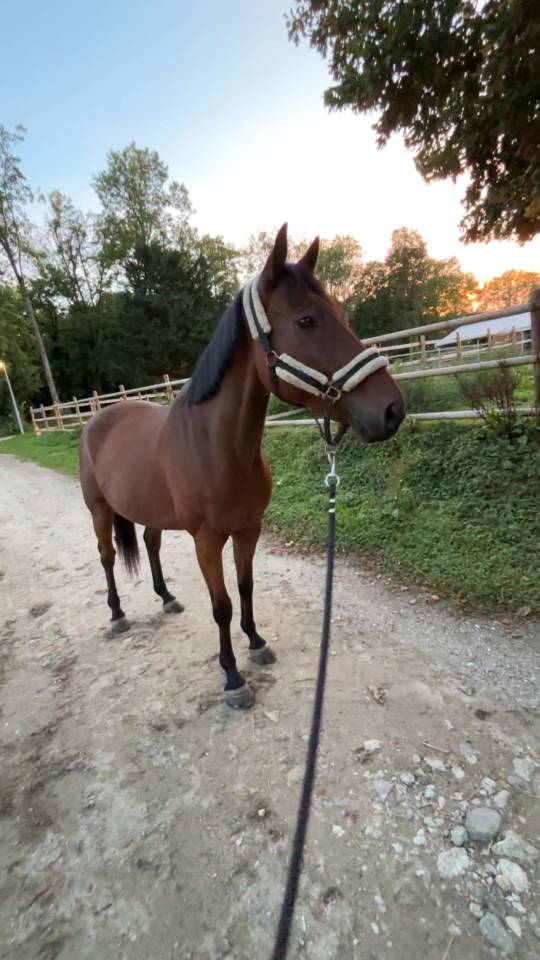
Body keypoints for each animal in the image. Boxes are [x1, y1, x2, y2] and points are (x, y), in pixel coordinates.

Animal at [79, 224, 405, 708]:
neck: (219, 449)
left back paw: (166, 597)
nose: (392, 409)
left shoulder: (249, 529)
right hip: (100, 510)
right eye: (306, 321)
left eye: (341, 313)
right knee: (106, 557)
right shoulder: (207, 541)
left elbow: (247, 587)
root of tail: (96, 419)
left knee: (151, 544)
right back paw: (117, 613)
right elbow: (222, 605)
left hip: (150, 510)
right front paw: (232, 676)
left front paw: (256, 642)